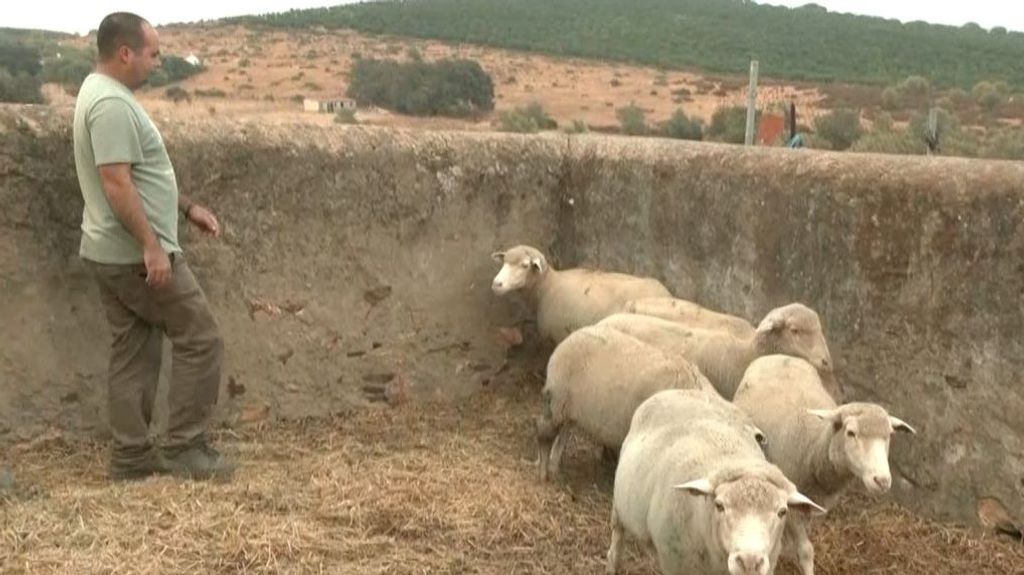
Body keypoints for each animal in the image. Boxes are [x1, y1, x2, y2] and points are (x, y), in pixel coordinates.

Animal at [489, 242, 671, 341]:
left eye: (525, 265)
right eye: (504, 262)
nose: (497, 284)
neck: (548, 285)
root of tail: (666, 294)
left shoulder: (558, 334)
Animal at [536, 323, 712, 478]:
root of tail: (570, 338)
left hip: (567, 407)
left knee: (561, 435)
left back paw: (553, 467)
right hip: (557, 398)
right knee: (545, 431)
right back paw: (543, 470)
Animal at [606, 384, 823, 572]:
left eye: (782, 512)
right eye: (719, 506)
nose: (749, 562)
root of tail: (683, 391)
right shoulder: (673, 562)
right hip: (619, 505)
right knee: (618, 535)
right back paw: (612, 564)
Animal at [733, 354, 917, 572]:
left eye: (889, 435)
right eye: (851, 433)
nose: (881, 481)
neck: (815, 445)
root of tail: (779, 356)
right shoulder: (793, 503)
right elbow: (806, 550)